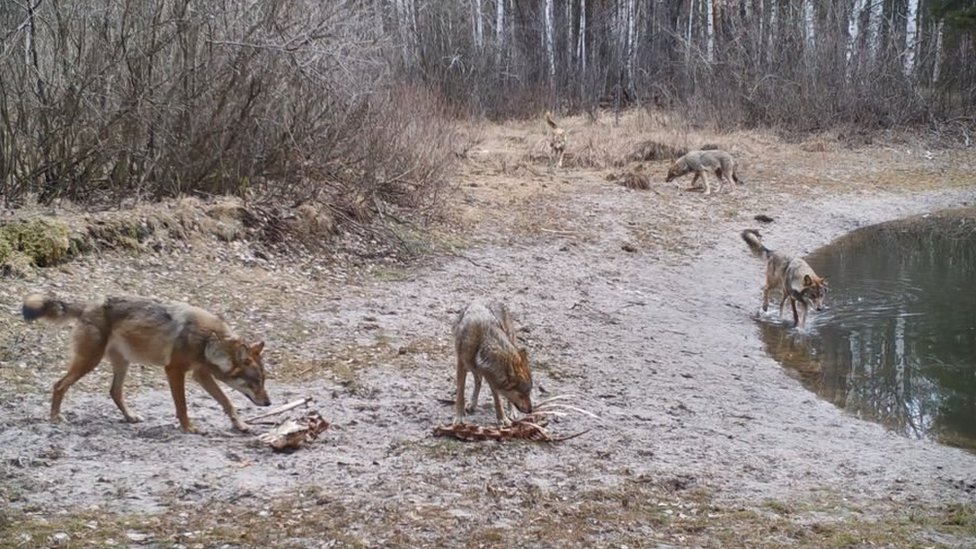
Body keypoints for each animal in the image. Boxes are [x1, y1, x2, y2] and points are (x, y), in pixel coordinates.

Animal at [21, 294, 270, 434]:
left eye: (263, 381)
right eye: (256, 381)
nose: (269, 403)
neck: (210, 340)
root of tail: (88, 305)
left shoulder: (201, 375)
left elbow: (227, 402)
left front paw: (241, 425)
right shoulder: (174, 371)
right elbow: (182, 406)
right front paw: (188, 428)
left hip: (121, 364)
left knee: (114, 392)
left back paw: (130, 417)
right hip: (89, 363)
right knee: (59, 385)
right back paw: (55, 418)